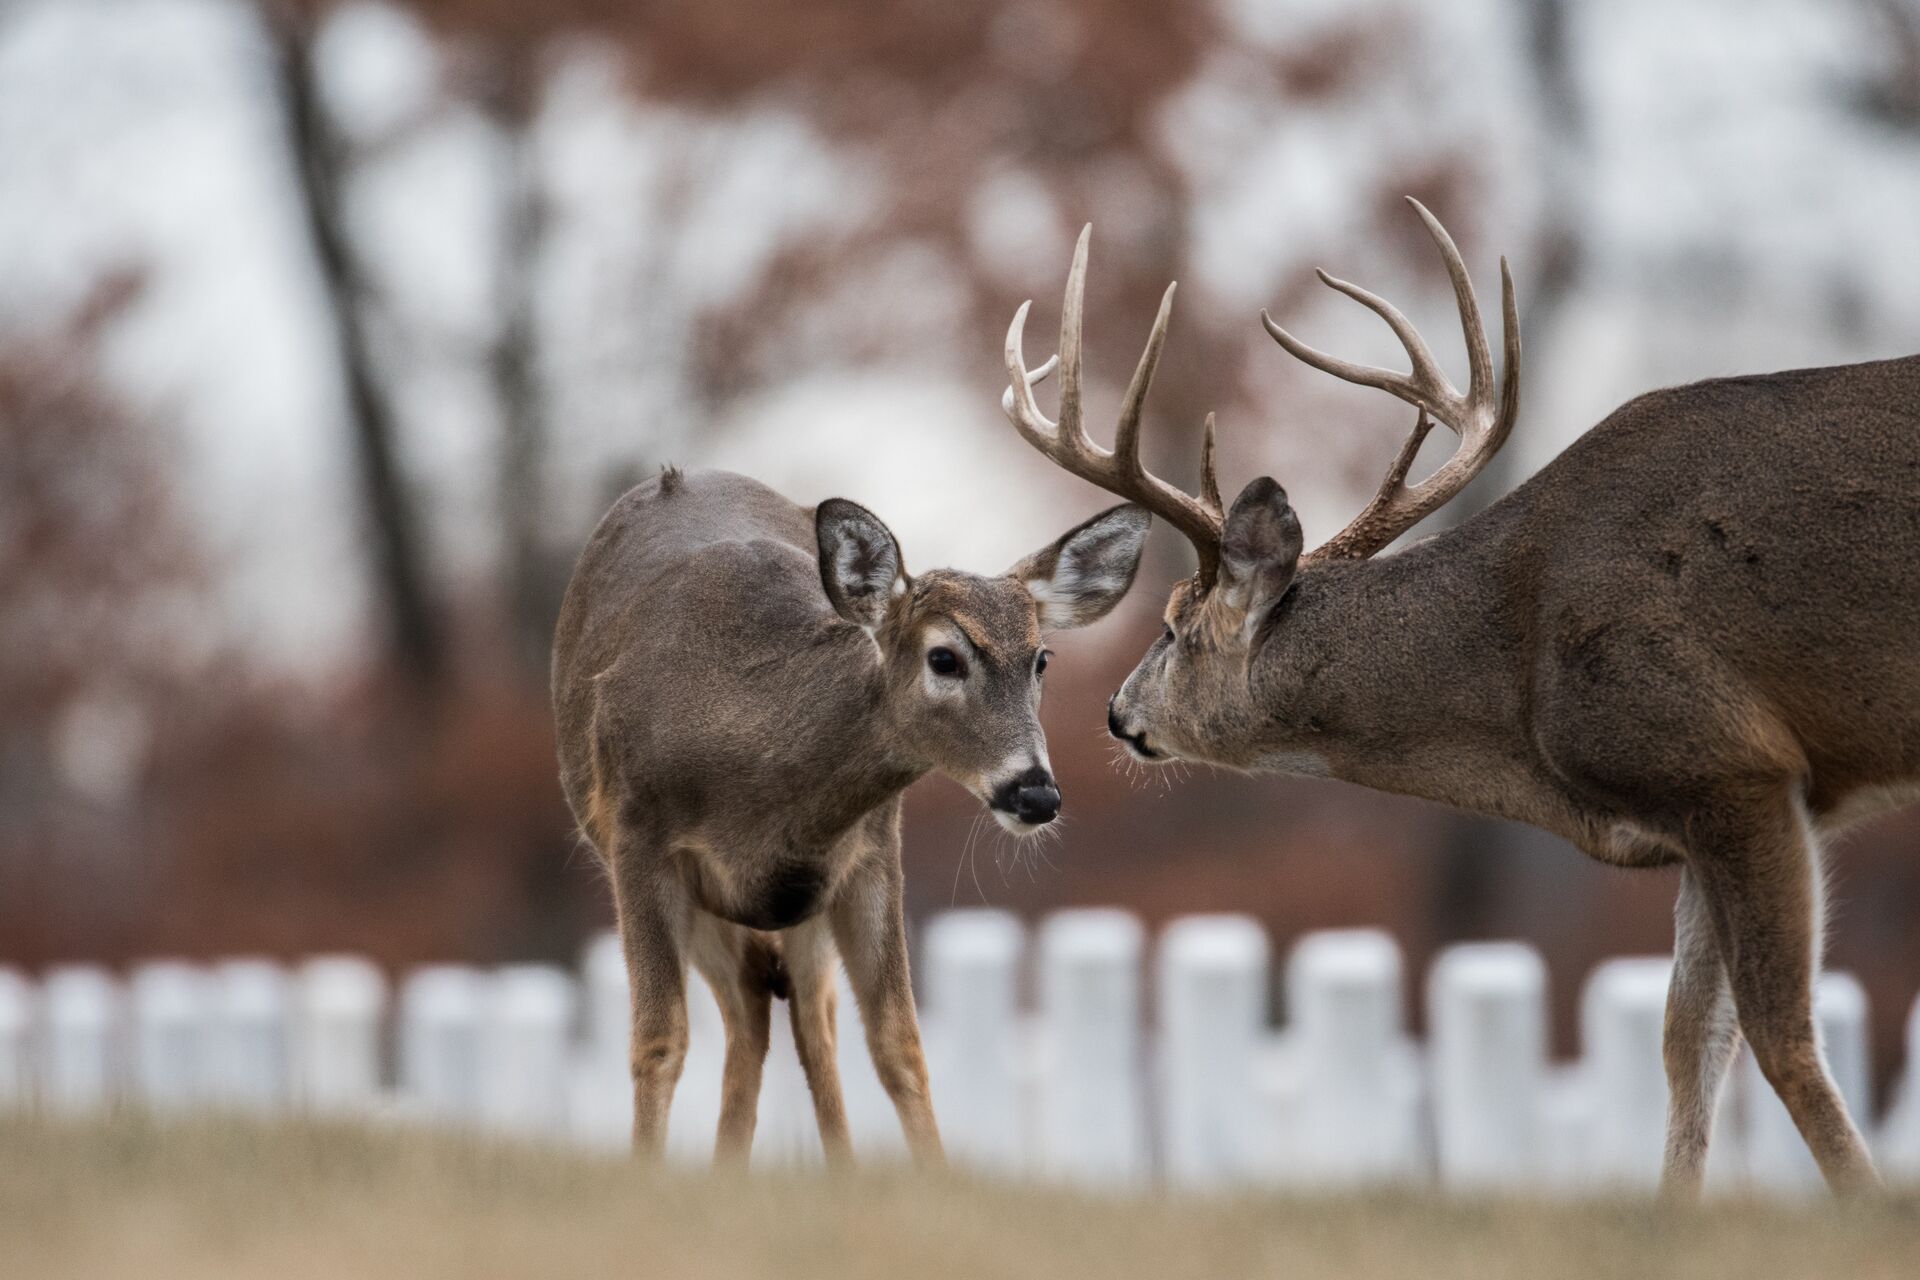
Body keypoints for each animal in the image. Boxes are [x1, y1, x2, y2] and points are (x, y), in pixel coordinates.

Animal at [556, 466, 1144, 1166]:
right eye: (944, 657)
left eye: (1041, 659)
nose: (1035, 793)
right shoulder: (639, 842)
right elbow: (658, 1043)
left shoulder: (870, 853)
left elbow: (900, 1045)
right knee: (752, 1005)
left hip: (803, 897)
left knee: (800, 1018)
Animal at [1006, 205, 1920, 1197]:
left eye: (1174, 627)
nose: (1117, 712)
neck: (1516, 679)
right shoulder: (1705, 811)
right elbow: (1689, 1042)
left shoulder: (1734, 764)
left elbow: (1782, 1039)